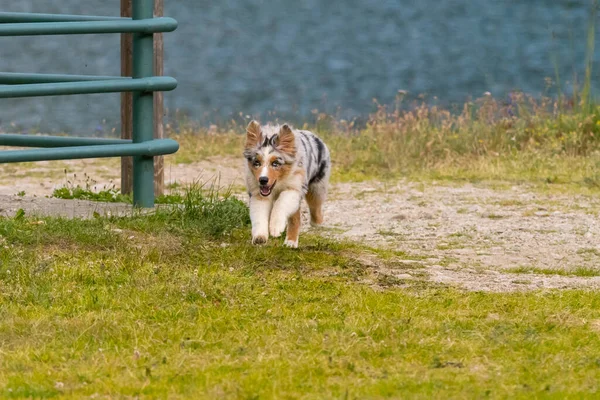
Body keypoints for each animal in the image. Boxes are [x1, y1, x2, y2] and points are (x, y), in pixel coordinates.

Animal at [243, 120, 330, 248]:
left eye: (275, 163)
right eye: (257, 163)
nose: (263, 180)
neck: (279, 182)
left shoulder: (294, 188)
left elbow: (281, 204)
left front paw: (276, 227)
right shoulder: (258, 193)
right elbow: (259, 214)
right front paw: (260, 237)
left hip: (317, 186)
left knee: (315, 206)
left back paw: (312, 226)